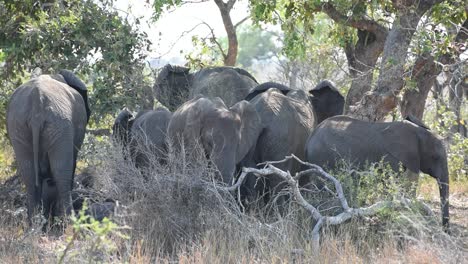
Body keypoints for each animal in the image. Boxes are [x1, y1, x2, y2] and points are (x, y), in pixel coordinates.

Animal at [7, 69, 91, 222]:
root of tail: (36, 103)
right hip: (60, 125)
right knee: (62, 173)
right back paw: (69, 223)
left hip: (18, 126)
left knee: (29, 175)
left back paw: (35, 225)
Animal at [304, 115, 450, 231]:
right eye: (435, 157)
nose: (445, 231)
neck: (416, 130)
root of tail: (311, 136)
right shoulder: (391, 158)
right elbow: (389, 183)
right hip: (321, 157)